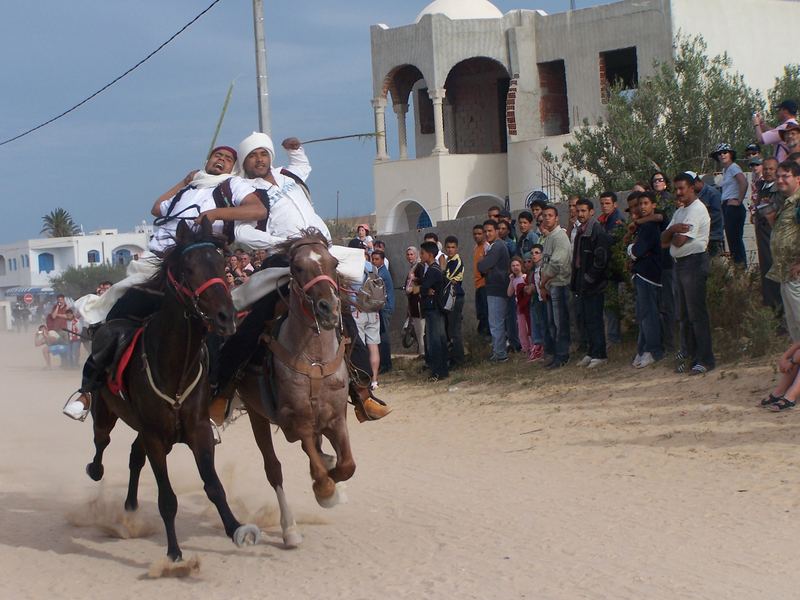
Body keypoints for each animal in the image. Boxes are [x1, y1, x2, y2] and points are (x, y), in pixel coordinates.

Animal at [85, 219, 260, 564]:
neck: (174, 370)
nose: (226, 316)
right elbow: (167, 499)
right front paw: (175, 553)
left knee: (133, 456)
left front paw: (236, 529)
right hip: (105, 413)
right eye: (188, 269)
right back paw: (96, 469)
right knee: (101, 444)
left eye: (221, 264)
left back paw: (130, 506)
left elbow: (214, 486)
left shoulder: (197, 430)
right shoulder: (155, 436)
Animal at [233, 230, 354, 548]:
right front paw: (326, 492)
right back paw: (290, 530)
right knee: (273, 468)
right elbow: (320, 472)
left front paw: (334, 481)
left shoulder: (337, 417)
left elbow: (346, 465)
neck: (314, 360)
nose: (328, 309)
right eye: (297, 267)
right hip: (257, 415)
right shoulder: (297, 420)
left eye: (334, 262)